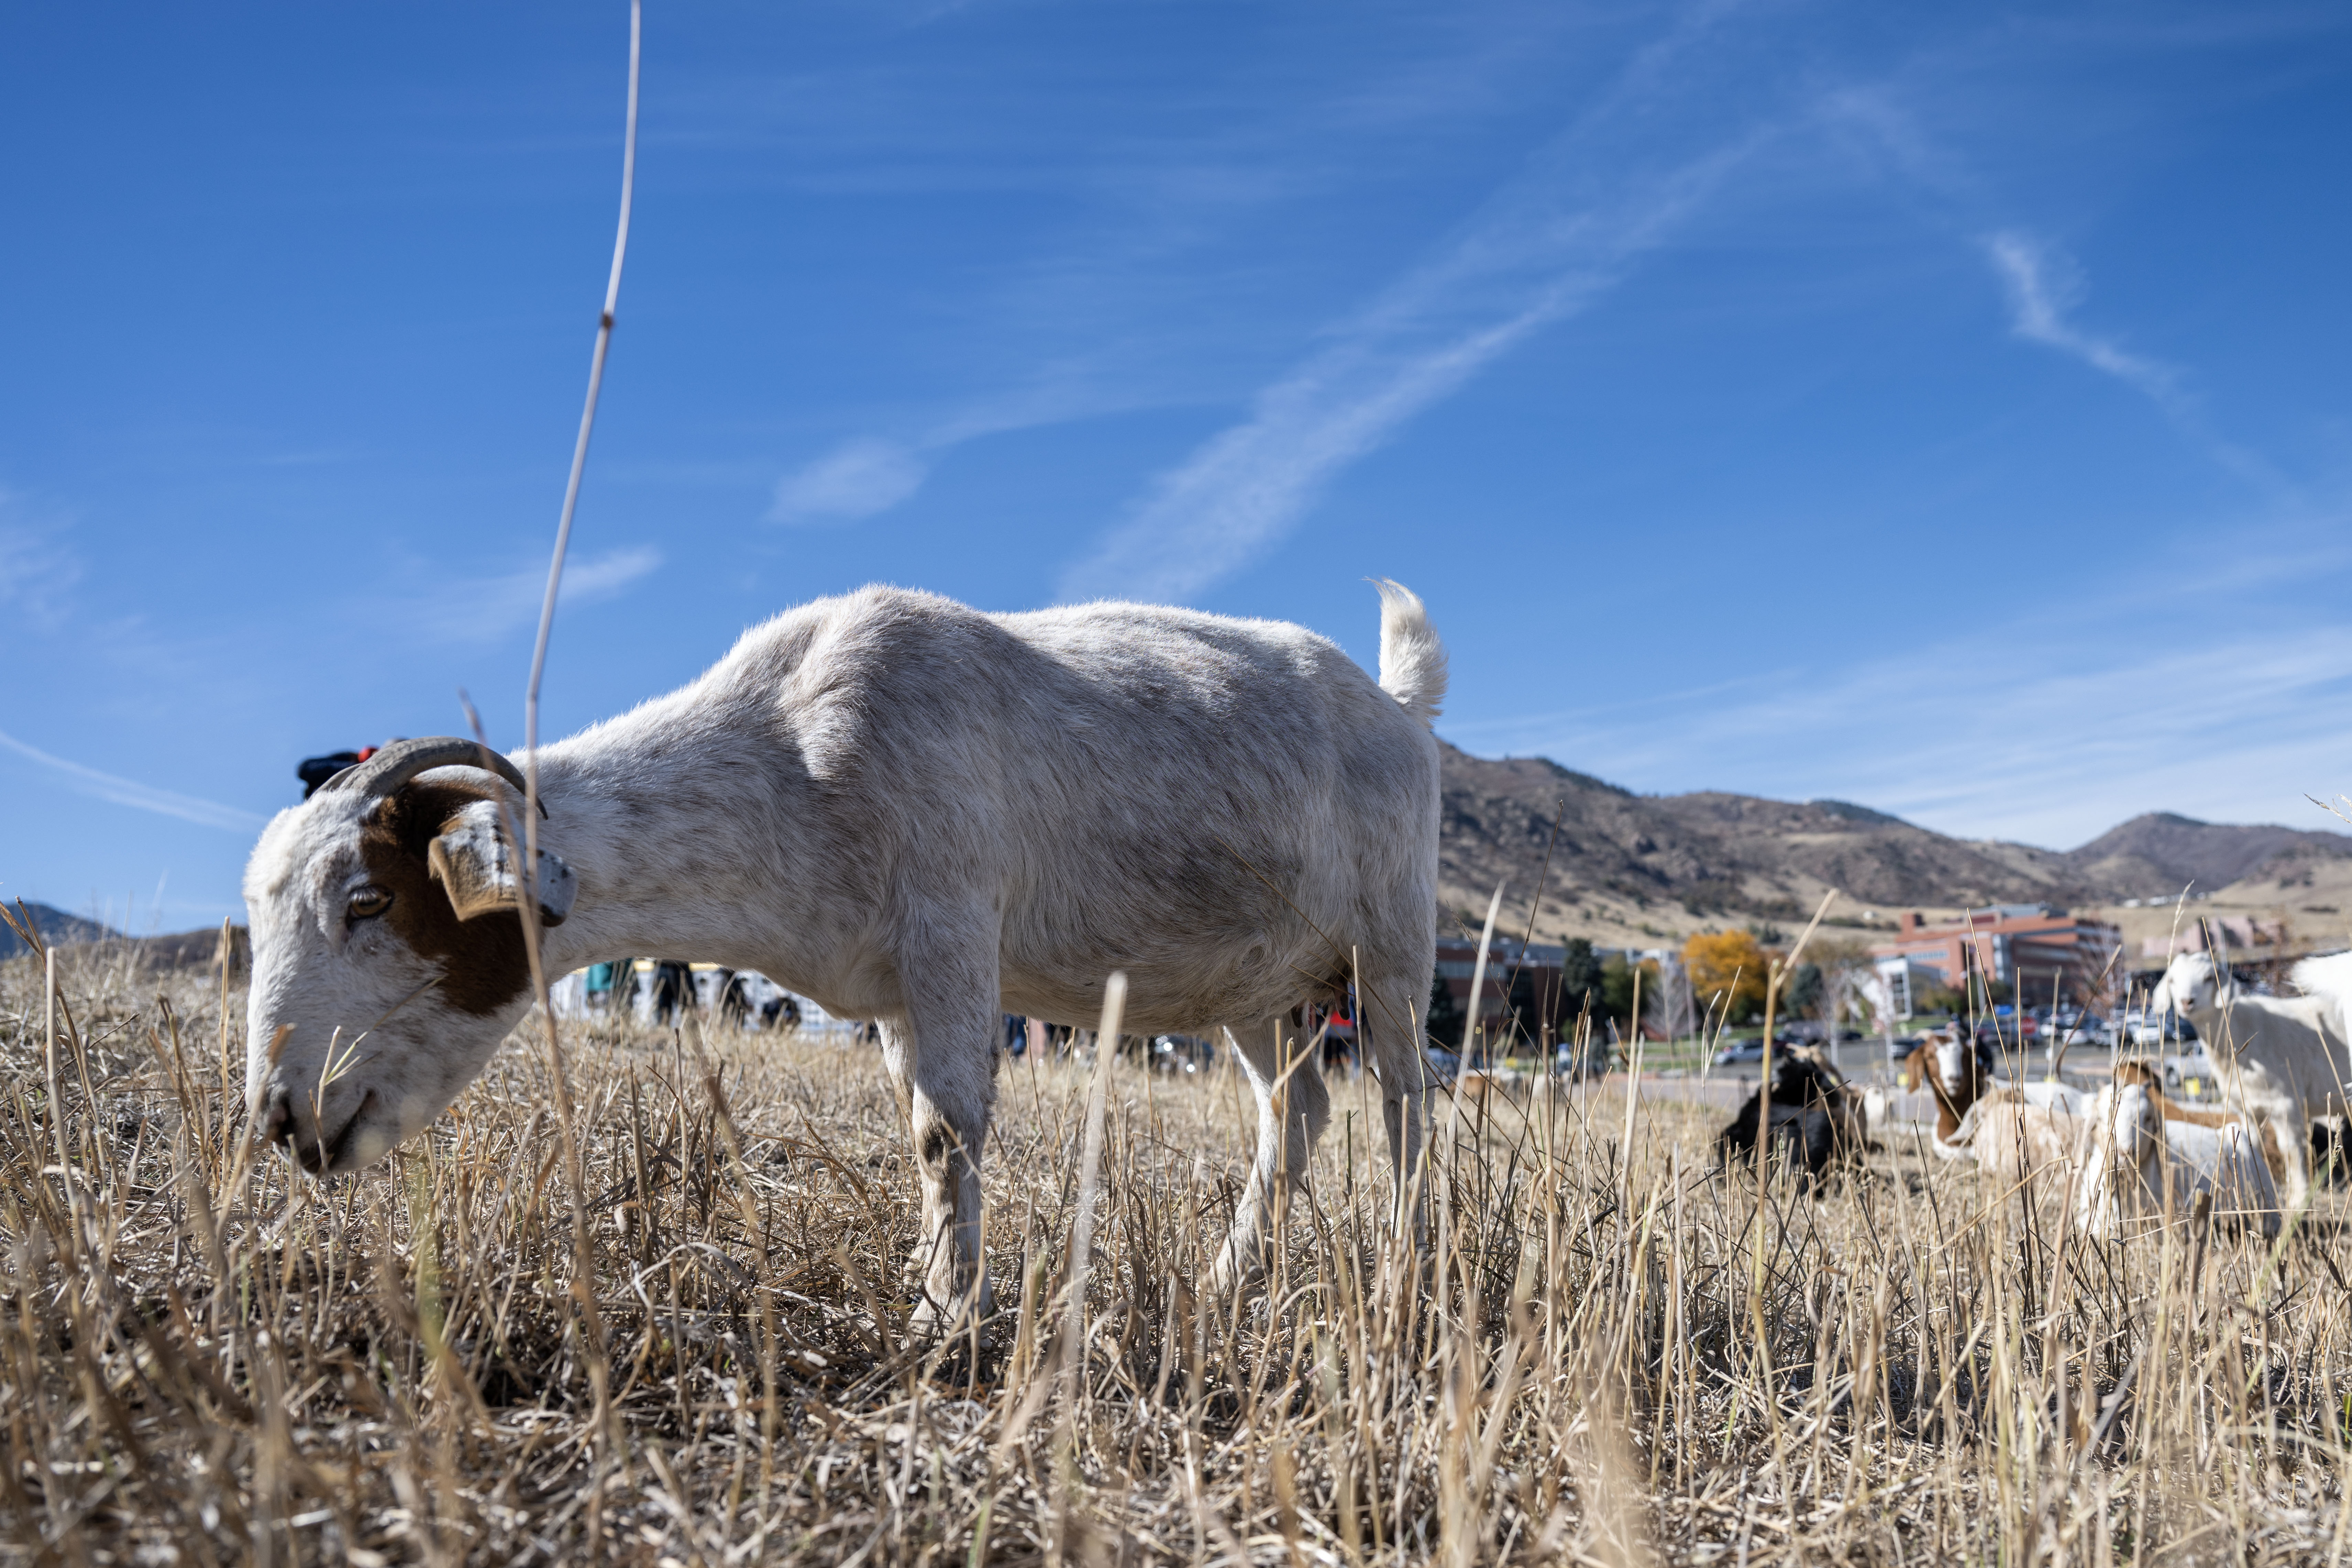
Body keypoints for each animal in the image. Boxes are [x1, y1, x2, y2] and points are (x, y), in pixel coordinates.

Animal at [243, 581, 1449, 1325]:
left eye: (366, 900)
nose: (282, 1117)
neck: (787, 750)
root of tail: (1396, 703)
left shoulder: (953, 926)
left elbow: (947, 1127)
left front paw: (946, 1316)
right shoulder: (894, 990)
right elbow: (919, 1132)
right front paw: (931, 1281)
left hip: (1391, 941)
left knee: (1406, 1108)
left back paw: (1405, 1276)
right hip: (1255, 987)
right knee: (1296, 1115)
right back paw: (1226, 1279)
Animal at [2151, 951, 2352, 1208]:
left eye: (2209, 978)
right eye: (2173, 980)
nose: (2187, 1002)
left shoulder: (2286, 1103)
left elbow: (2291, 1149)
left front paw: (2298, 1200)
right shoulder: (2245, 1107)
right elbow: (2253, 1146)